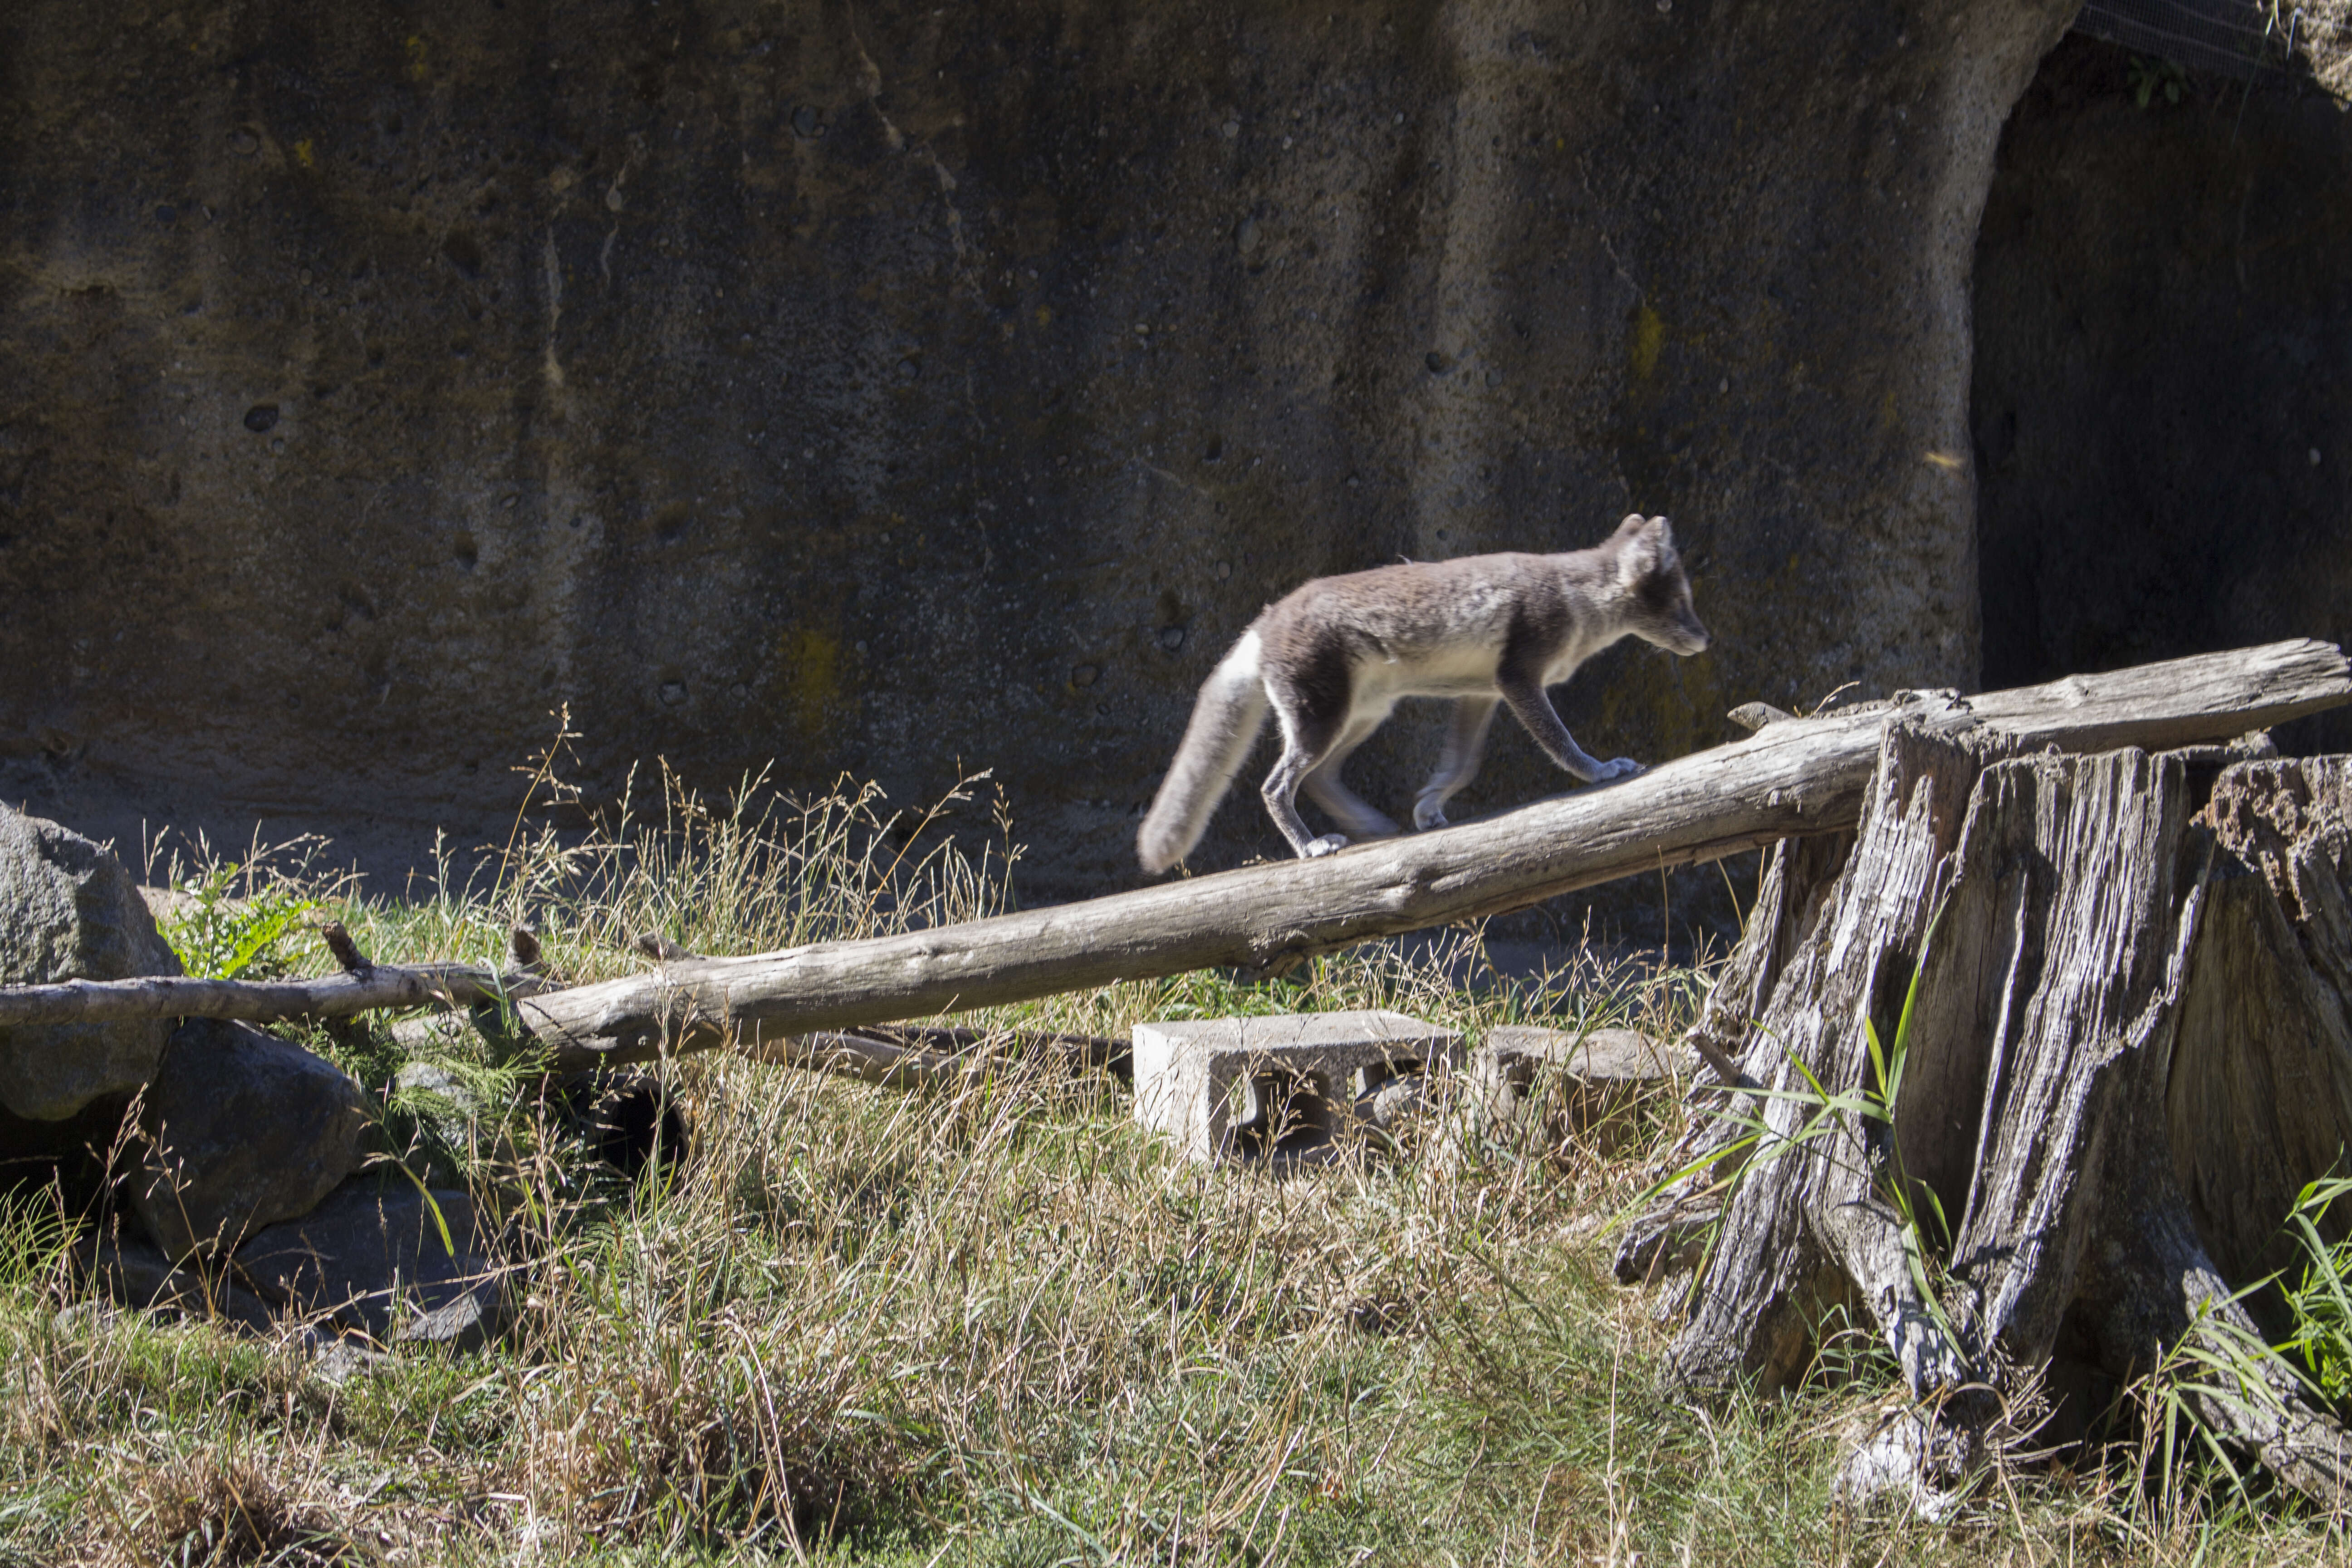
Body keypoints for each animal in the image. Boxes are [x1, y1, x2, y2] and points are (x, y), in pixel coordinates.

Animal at [1129, 517, 1703, 879]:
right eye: (1681, 600)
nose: (1706, 639)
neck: (1578, 595)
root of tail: (1263, 621)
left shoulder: (1485, 691)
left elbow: (1463, 765)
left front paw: (1428, 807)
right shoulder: (1520, 679)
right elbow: (1561, 744)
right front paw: (1602, 770)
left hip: (1362, 716)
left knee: (1320, 779)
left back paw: (1371, 826)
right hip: (1323, 718)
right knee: (1277, 785)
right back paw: (1311, 847)